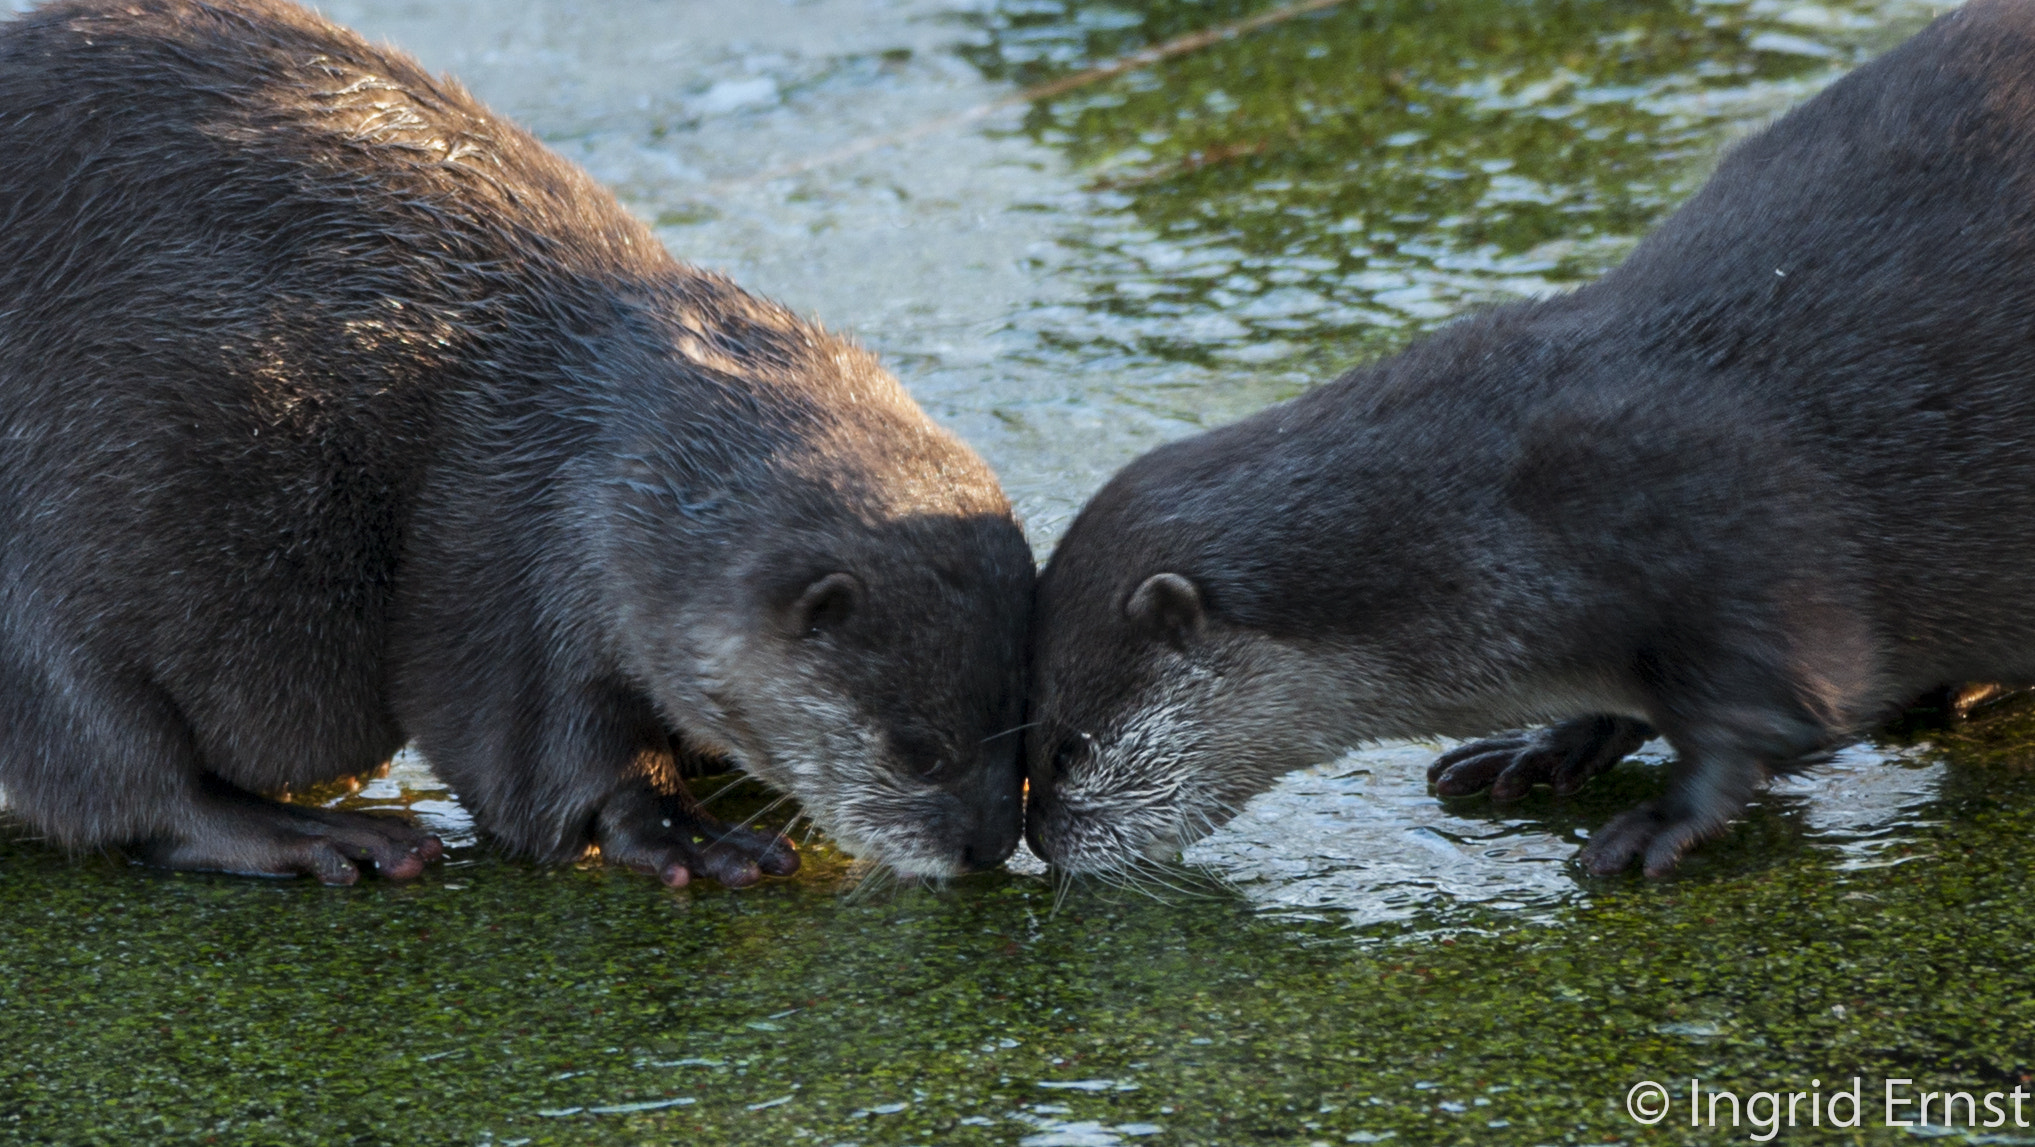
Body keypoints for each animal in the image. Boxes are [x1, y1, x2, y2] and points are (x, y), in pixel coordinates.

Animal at [0, 0, 1025, 886]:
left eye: (1023, 724)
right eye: (917, 750)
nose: (986, 845)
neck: (595, 446)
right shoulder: (518, 554)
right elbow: (546, 763)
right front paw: (683, 830)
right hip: (37, 596)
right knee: (128, 785)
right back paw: (325, 835)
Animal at [1025, 0, 2035, 878]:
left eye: (1067, 748)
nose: (1038, 839)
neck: (1510, 528)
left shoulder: (1756, 560)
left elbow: (1765, 725)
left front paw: (1656, 821)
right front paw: (1543, 742)